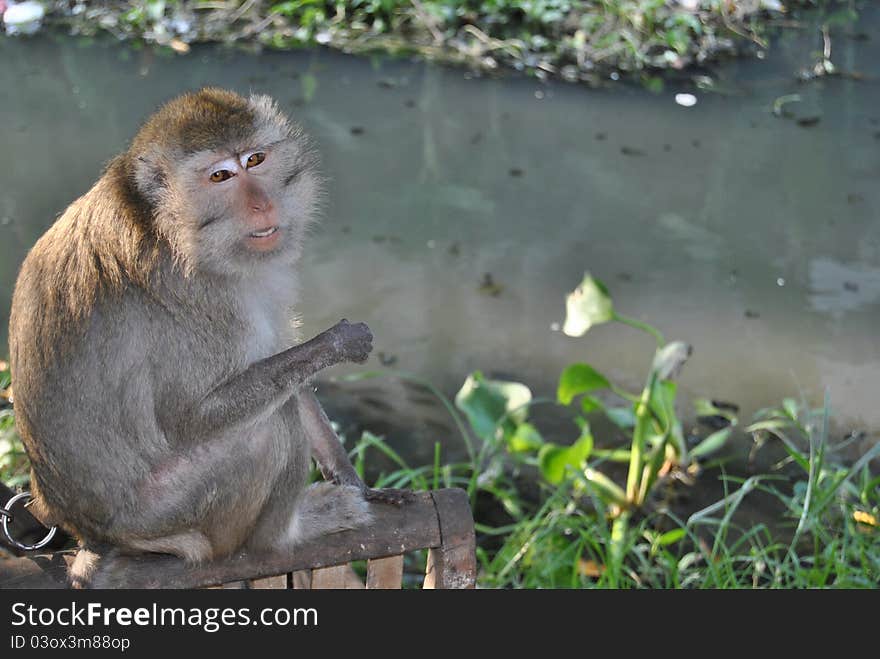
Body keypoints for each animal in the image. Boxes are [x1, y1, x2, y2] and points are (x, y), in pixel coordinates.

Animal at [6, 87, 406, 588]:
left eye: (255, 159)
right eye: (220, 175)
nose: (262, 205)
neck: (161, 219)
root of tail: (89, 534)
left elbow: (283, 365)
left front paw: (357, 481)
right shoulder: (199, 295)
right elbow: (193, 418)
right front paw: (337, 343)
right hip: (165, 513)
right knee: (265, 429)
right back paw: (283, 536)